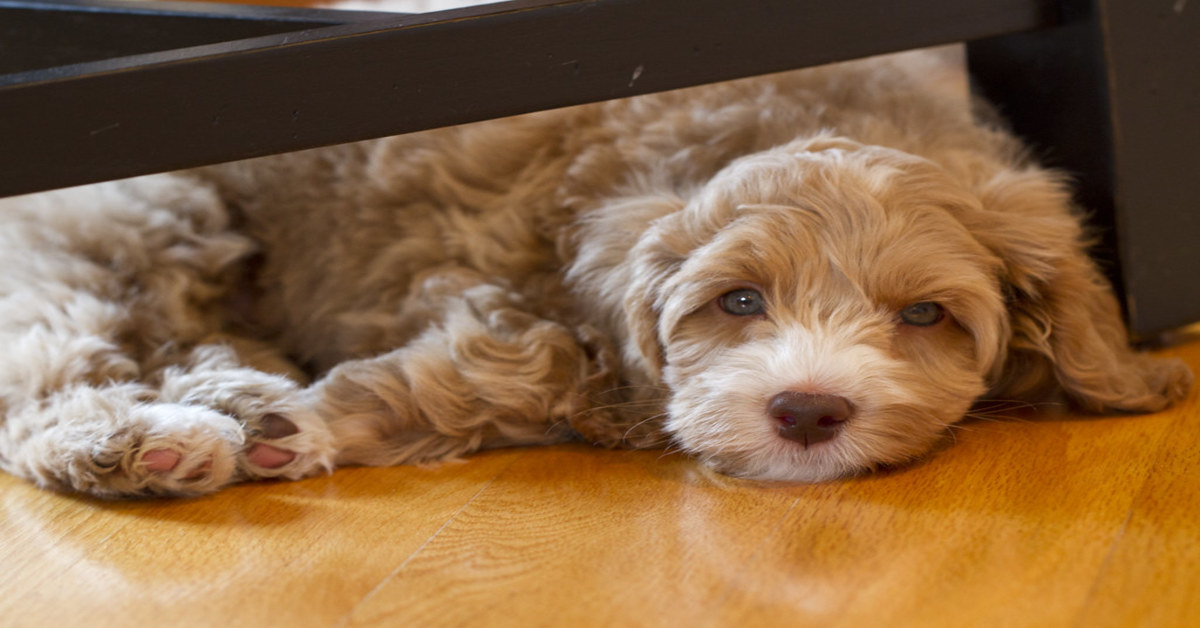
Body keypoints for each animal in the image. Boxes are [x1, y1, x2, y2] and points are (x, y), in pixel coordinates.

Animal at [0, 50, 1190, 501]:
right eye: (739, 301)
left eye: (927, 314)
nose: (807, 411)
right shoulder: (469, 267)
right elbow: (524, 358)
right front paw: (306, 426)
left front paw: (289, 420)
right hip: (145, 219)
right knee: (58, 360)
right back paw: (142, 441)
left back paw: (228, 396)